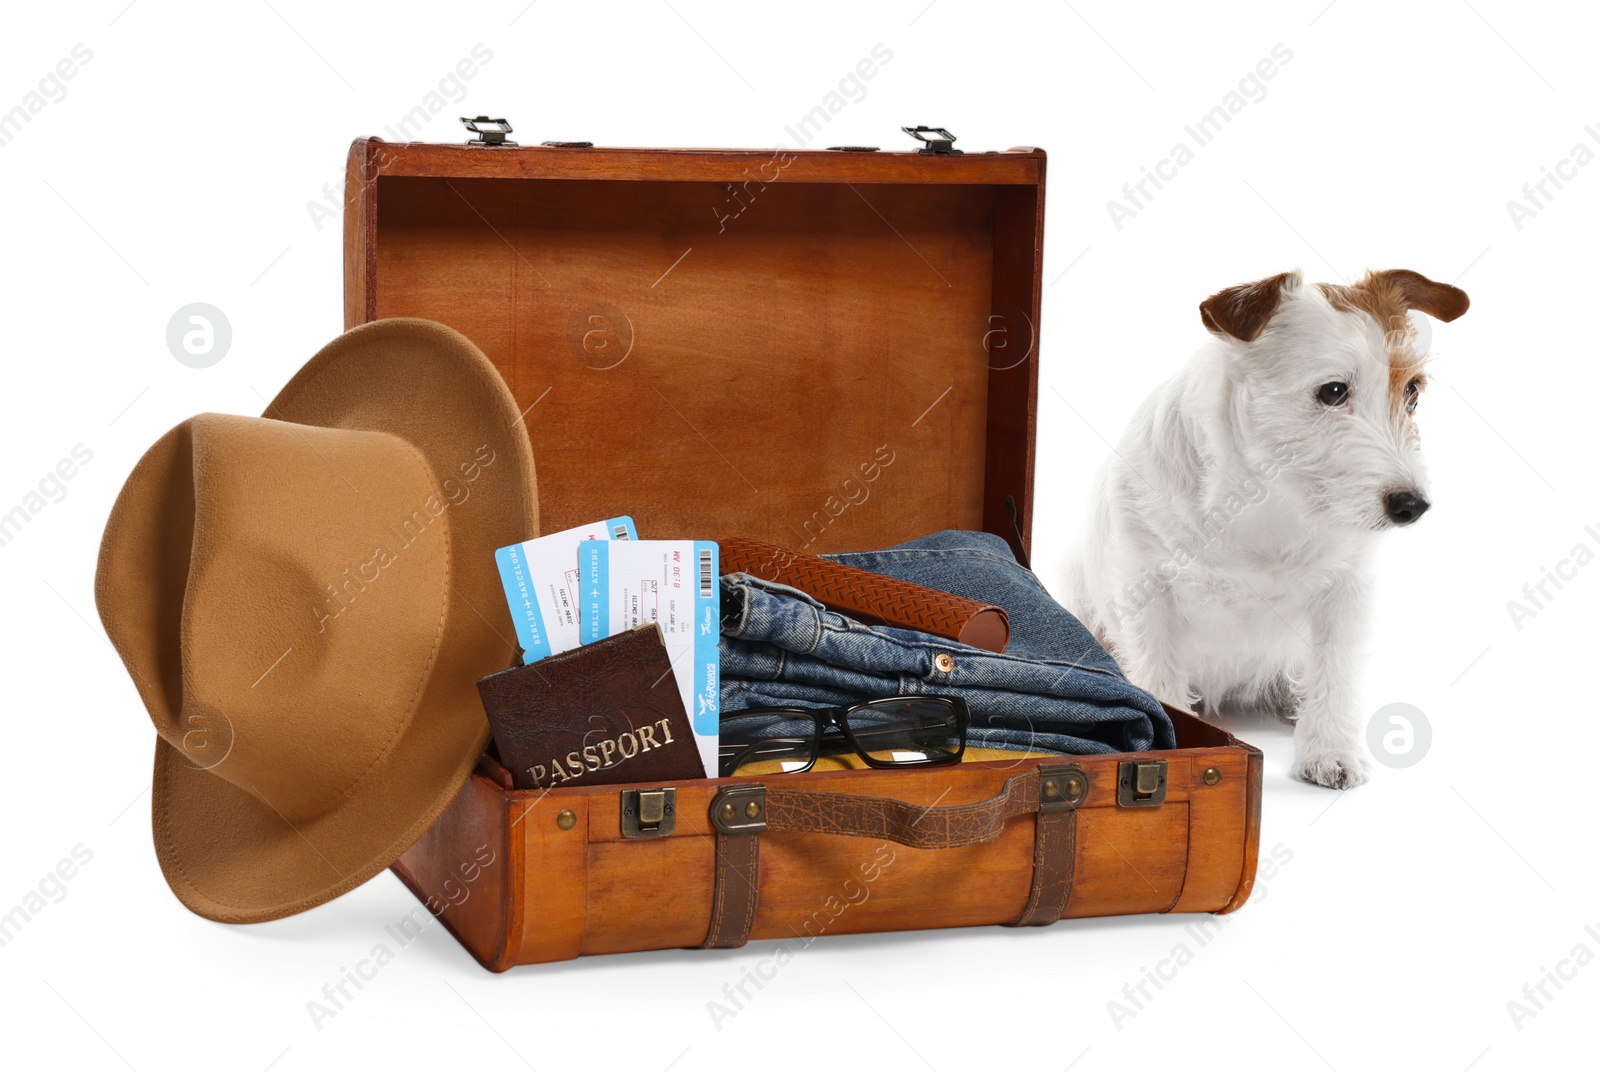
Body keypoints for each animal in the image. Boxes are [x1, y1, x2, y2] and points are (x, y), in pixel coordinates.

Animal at [1068, 268, 1465, 790]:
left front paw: (1330, 750)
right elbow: (1159, 677)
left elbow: (1335, 673)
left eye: (1413, 391)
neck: (1268, 499)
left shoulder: (1346, 592)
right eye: (1333, 391)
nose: (1413, 506)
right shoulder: (1146, 591)